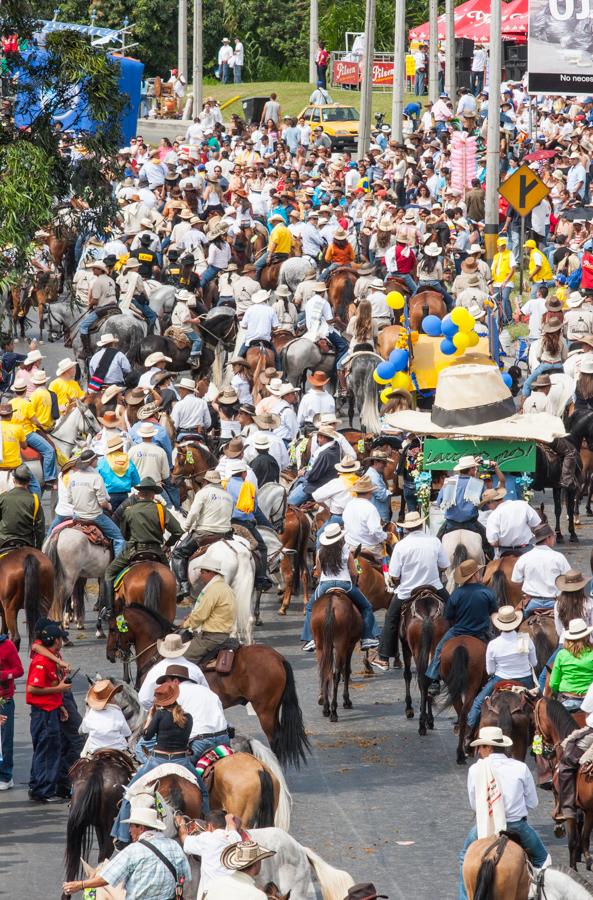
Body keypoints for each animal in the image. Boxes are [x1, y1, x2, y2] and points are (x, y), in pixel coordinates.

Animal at [105, 604, 310, 768]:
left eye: (113, 629)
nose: (110, 655)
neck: (158, 653)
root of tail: (279, 658)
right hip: (273, 709)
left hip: (265, 711)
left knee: (275, 740)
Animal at [310, 592, 360, 724]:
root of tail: (331, 603)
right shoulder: (350, 646)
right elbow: (346, 671)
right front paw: (347, 701)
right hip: (340, 644)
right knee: (335, 674)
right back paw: (333, 711)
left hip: (321, 645)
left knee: (325, 673)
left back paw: (326, 708)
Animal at [400, 588, 446, 736]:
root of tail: (427, 614)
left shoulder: (405, 646)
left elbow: (407, 675)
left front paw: (410, 708)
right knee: (429, 680)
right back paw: (427, 720)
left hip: (416, 650)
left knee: (422, 680)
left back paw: (422, 723)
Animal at [440, 632, 486, 768]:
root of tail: (462, 646)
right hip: (472, 686)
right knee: (465, 712)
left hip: (454, 688)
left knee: (462, 713)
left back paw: (460, 753)